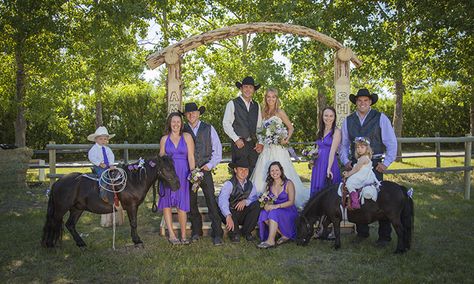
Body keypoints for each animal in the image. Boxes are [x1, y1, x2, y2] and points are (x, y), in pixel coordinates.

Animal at [41, 155, 180, 248]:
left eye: (173, 167)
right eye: (167, 168)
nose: (177, 185)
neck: (133, 181)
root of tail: (58, 182)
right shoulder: (131, 206)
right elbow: (134, 223)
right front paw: (137, 241)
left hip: (77, 209)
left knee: (70, 225)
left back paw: (81, 243)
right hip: (61, 209)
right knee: (53, 223)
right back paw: (49, 244)